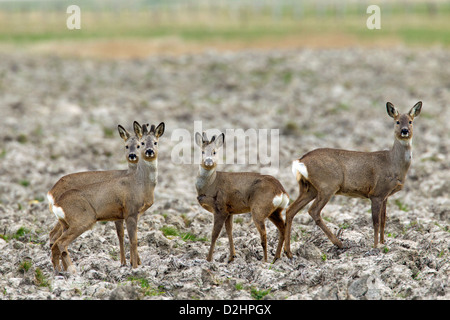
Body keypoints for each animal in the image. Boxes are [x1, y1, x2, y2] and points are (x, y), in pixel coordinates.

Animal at [49, 121, 165, 274]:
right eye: (143, 143)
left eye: (156, 142)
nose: (149, 151)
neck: (140, 183)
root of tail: (55, 199)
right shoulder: (130, 212)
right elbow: (133, 240)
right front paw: (134, 267)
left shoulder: (123, 215)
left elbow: (124, 236)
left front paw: (130, 264)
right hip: (82, 219)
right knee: (60, 242)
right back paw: (73, 271)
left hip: (66, 223)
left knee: (55, 242)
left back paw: (59, 271)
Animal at [193, 132, 288, 262]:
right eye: (202, 151)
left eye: (214, 152)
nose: (208, 161)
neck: (210, 184)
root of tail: (281, 191)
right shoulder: (229, 211)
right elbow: (229, 232)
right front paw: (231, 257)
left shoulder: (220, 208)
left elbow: (214, 234)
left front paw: (208, 259)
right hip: (275, 211)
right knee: (283, 228)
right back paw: (277, 258)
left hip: (258, 208)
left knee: (264, 234)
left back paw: (265, 260)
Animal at [284, 100, 422, 258]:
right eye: (397, 121)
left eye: (411, 121)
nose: (405, 131)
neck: (393, 163)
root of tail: (301, 161)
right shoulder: (376, 193)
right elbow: (375, 222)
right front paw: (375, 247)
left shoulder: (385, 195)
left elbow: (384, 220)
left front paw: (383, 243)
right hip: (327, 185)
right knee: (313, 211)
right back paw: (339, 243)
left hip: (309, 188)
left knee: (290, 210)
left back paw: (288, 252)